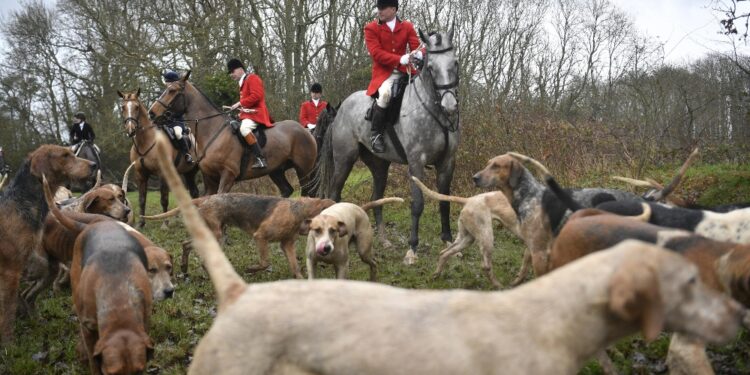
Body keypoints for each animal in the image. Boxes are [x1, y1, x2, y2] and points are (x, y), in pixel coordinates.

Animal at [118, 89, 201, 229]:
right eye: (123, 107)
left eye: (136, 107)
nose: (130, 129)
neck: (145, 142)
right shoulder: (140, 175)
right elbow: (142, 199)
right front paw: (141, 223)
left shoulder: (162, 174)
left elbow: (164, 199)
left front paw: (165, 224)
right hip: (187, 173)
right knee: (193, 192)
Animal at [147, 72, 318, 197]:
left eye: (172, 91)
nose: (151, 113)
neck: (212, 132)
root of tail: (305, 131)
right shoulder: (210, 178)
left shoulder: (228, 175)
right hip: (276, 170)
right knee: (287, 191)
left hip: (304, 169)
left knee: (309, 193)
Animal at [316, 28, 462, 264]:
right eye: (431, 68)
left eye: (455, 63)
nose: (450, 106)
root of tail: (342, 107)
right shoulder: (416, 163)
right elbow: (418, 204)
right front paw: (412, 249)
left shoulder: (447, 162)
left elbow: (444, 201)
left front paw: (450, 244)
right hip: (344, 160)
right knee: (334, 194)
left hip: (379, 166)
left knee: (376, 199)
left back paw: (383, 241)